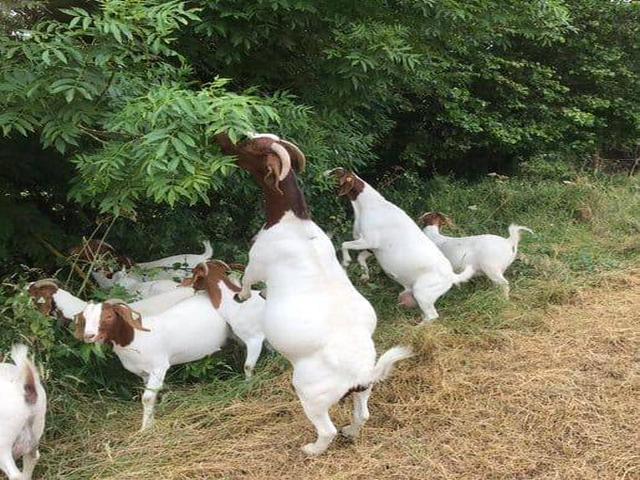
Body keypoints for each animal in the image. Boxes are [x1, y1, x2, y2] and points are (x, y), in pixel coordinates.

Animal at [76, 296, 228, 430]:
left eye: (108, 316)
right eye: (85, 318)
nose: (89, 336)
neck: (136, 338)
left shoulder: (159, 367)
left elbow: (147, 398)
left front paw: (145, 429)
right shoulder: (144, 373)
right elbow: (152, 396)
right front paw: (150, 424)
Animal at [214, 132, 412, 456]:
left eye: (249, 146)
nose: (219, 138)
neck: (292, 221)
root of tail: (360, 375)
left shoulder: (257, 262)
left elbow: (245, 280)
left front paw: (241, 297)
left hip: (311, 394)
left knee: (326, 429)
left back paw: (311, 449)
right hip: (363, 392)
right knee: (363, 414)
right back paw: (351, 432)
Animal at [329, 168, 474, 324]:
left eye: (335, 173)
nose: (324, 173)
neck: (369, 205)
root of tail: (452, 277)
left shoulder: (368, 241)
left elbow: (344, 245)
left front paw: (345, 262)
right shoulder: (371, 248)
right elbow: (360, 258)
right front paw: (364, 275)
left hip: (422, 292)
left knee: (432, 315)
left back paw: (418, 326)